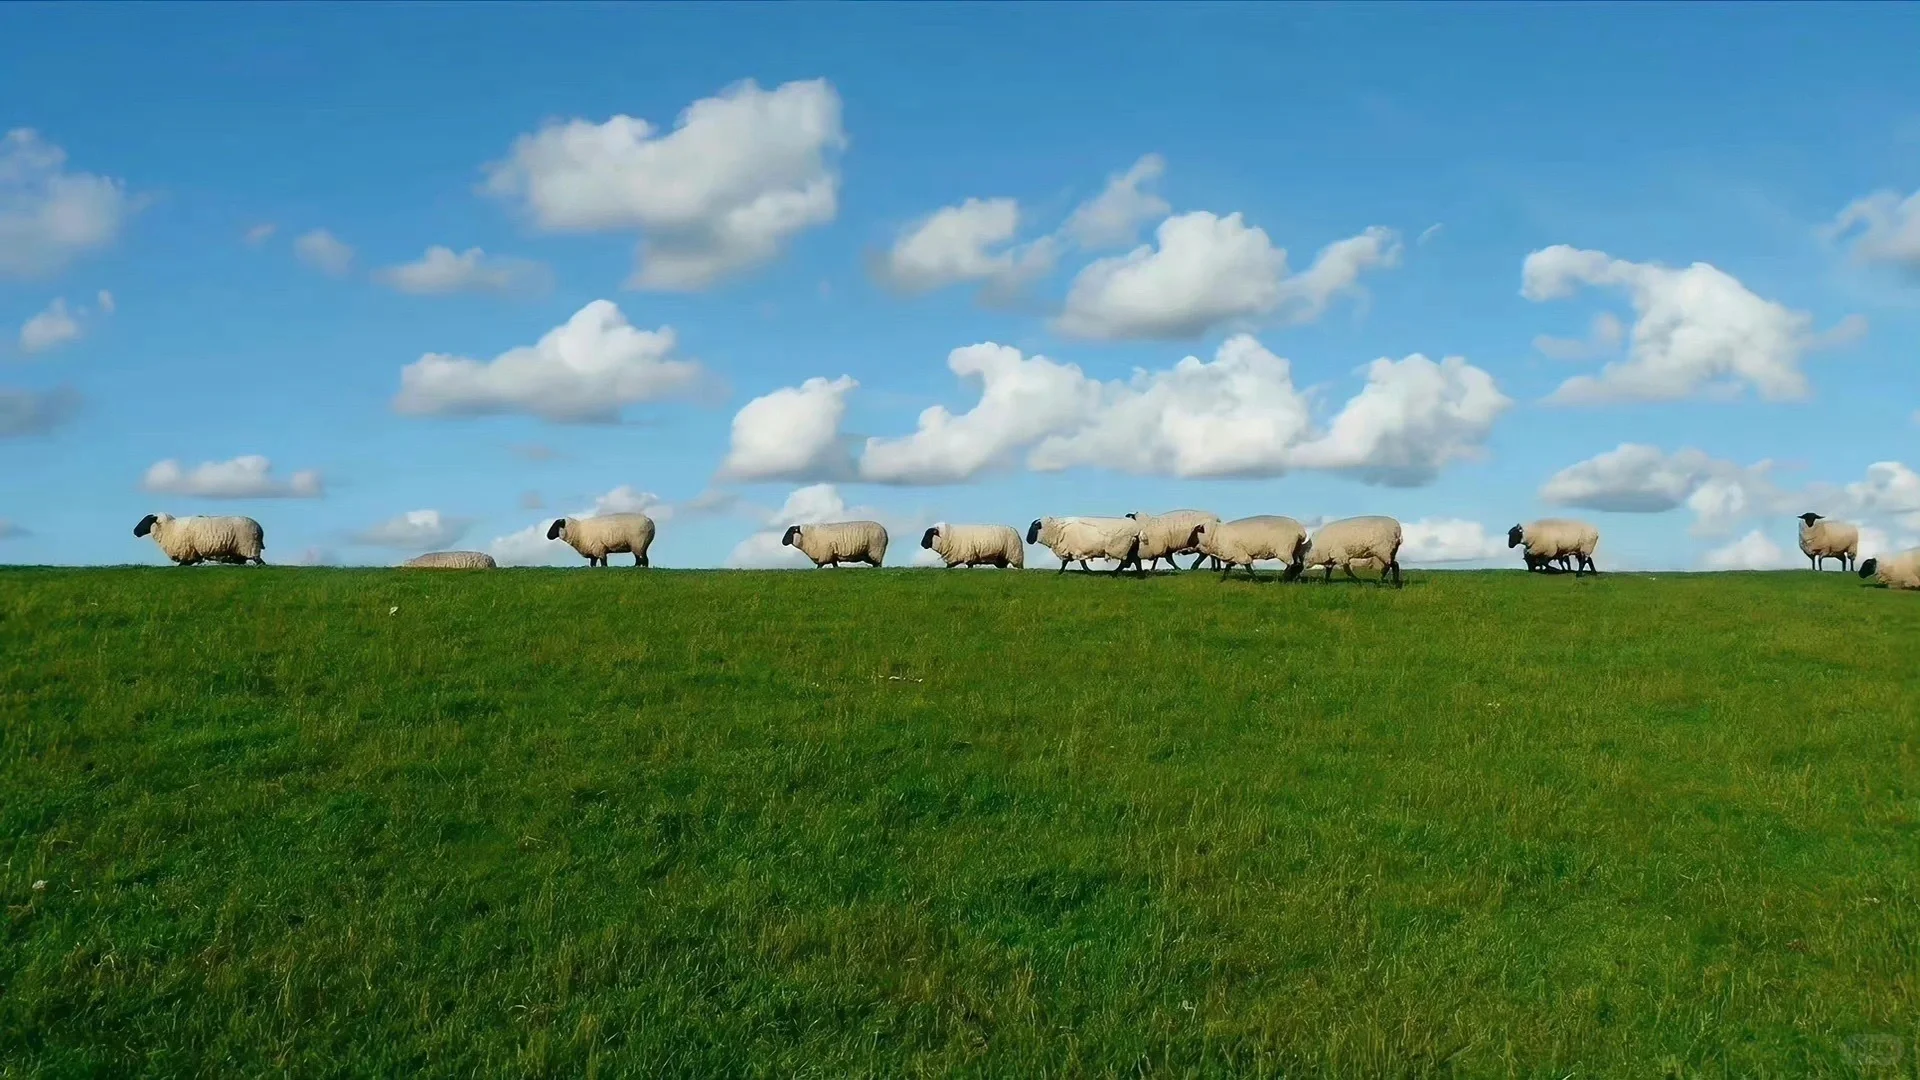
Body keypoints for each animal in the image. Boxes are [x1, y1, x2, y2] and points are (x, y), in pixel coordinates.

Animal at [132, 511, 266, 564]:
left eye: (146, 521)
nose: (135, 532)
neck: (170, 527)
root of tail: (259, 528)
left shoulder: (187, 552)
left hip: (250, 546)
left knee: (260, 562)